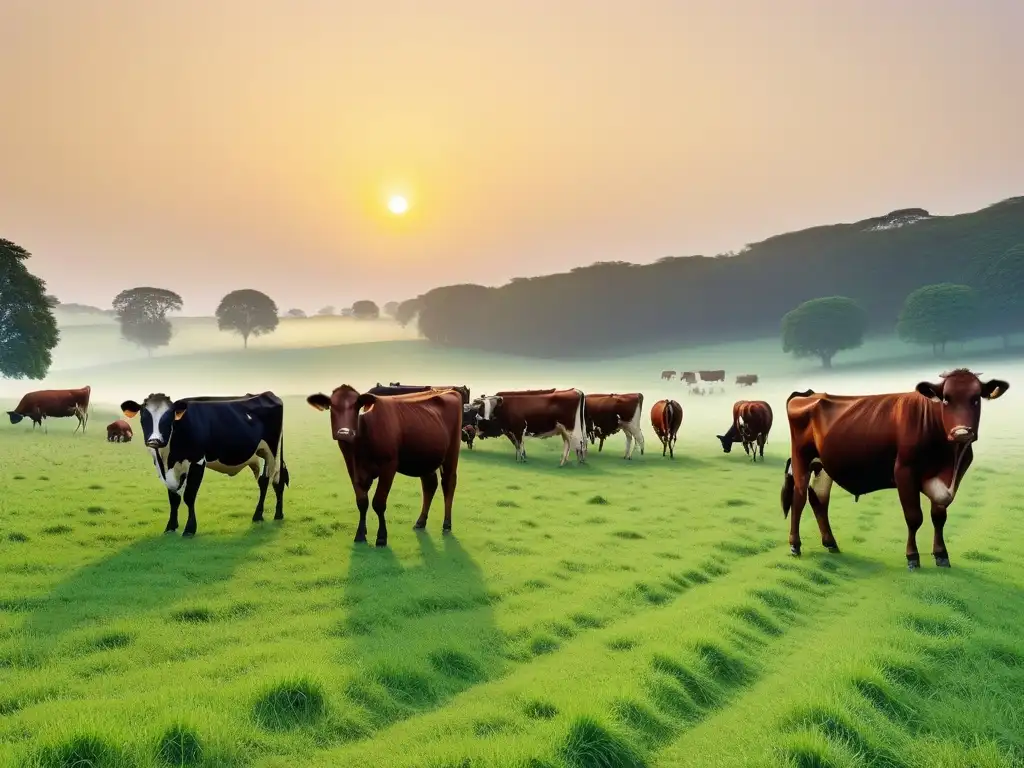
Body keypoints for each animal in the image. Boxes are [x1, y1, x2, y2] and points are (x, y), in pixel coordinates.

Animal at [118, 393, 288, 536]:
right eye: (144, 416)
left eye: (169, 418)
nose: (154, 441)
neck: (168, 457)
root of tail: (268, 394)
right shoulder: (164, 468)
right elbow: (173, 498)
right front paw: (171, 527)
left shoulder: (198, 460)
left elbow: (189, 496)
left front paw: (189, 529)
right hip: (260, 453)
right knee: (268, 480)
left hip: (272, 451)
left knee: (270, 481)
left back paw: (268, 515)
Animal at [305, 385, 462, 548]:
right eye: (332, 406)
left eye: (356, 406)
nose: (344, 433)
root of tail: (445, 390)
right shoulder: (353, 468)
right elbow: (362, 502)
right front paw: (360, 534)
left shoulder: (389, 466)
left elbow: (378, 502)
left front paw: (381, 537)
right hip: (425, 459)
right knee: (429, 486)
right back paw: (420, 521)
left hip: (451, 453)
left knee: (448, 484)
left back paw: (447, 524)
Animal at [778, 372, 1011, 573]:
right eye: (946, 399)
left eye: (976, 399)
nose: (962, 432)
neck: (950, 459)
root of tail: (809, 394)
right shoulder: (904, 472)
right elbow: (914, 517)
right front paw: (912, 557)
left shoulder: (944, 481)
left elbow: (939, 517)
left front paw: (942, 555)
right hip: (801, 459)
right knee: (799, 498)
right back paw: (795, 545)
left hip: (824, 466)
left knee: (819, 500)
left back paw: (831, 544)